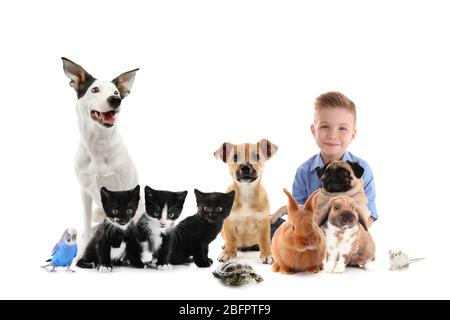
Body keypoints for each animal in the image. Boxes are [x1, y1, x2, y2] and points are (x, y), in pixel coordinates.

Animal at [61, 57, 142, 240]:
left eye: (116, 93)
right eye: (95, 90)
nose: (115, 100)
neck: (98, 142)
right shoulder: (85, 191)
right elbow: (86, 220)